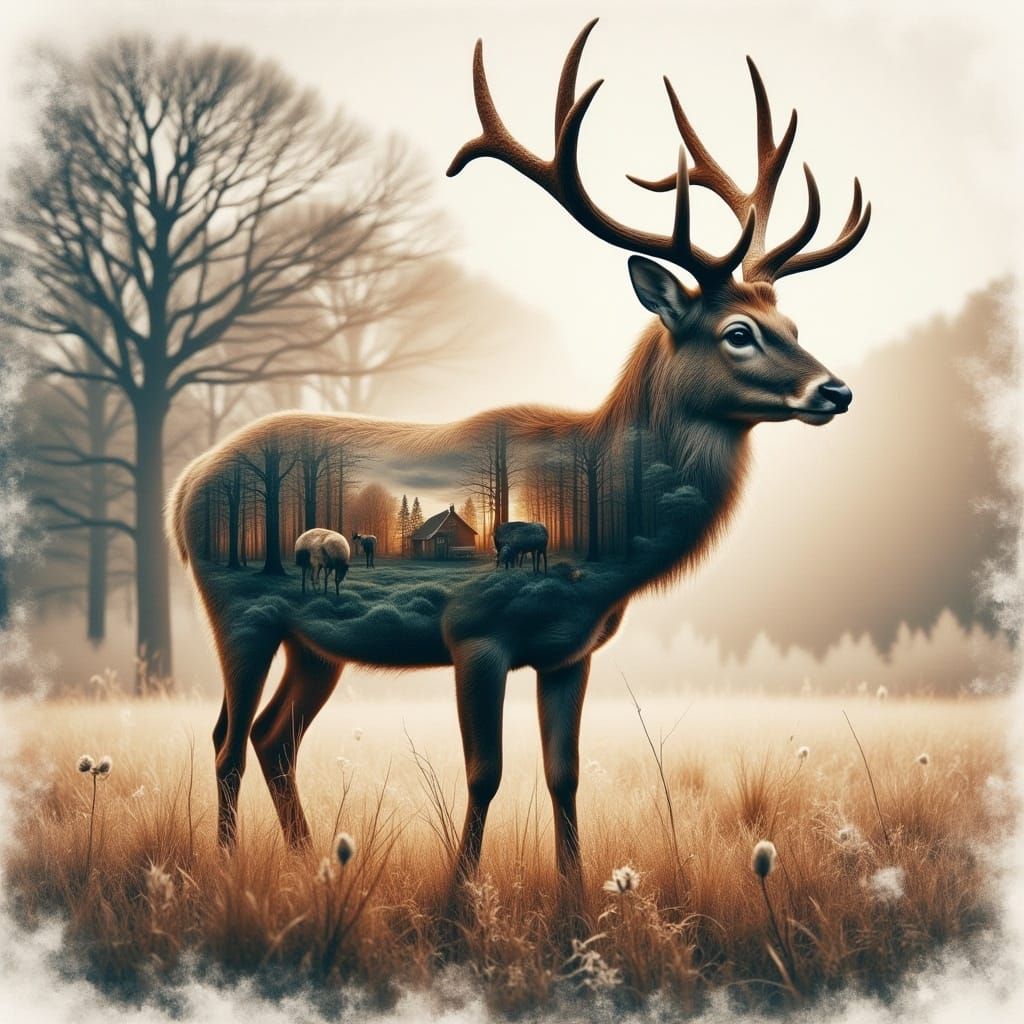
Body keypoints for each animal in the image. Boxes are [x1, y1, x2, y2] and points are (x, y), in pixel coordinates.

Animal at [166, 18, 869, 895]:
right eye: (738, 332)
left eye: (794, 326)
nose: (835, 390)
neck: (611, 562)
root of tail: (182, 488)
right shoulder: (476, 630)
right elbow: (486, 772)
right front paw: (459, 895)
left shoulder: (568, 652)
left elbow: (563, 773)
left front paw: (575, 895)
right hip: (238, 608)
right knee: (226, 737)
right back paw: (230, 868)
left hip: (314, 641)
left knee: (273, 737)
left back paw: (306, 860)